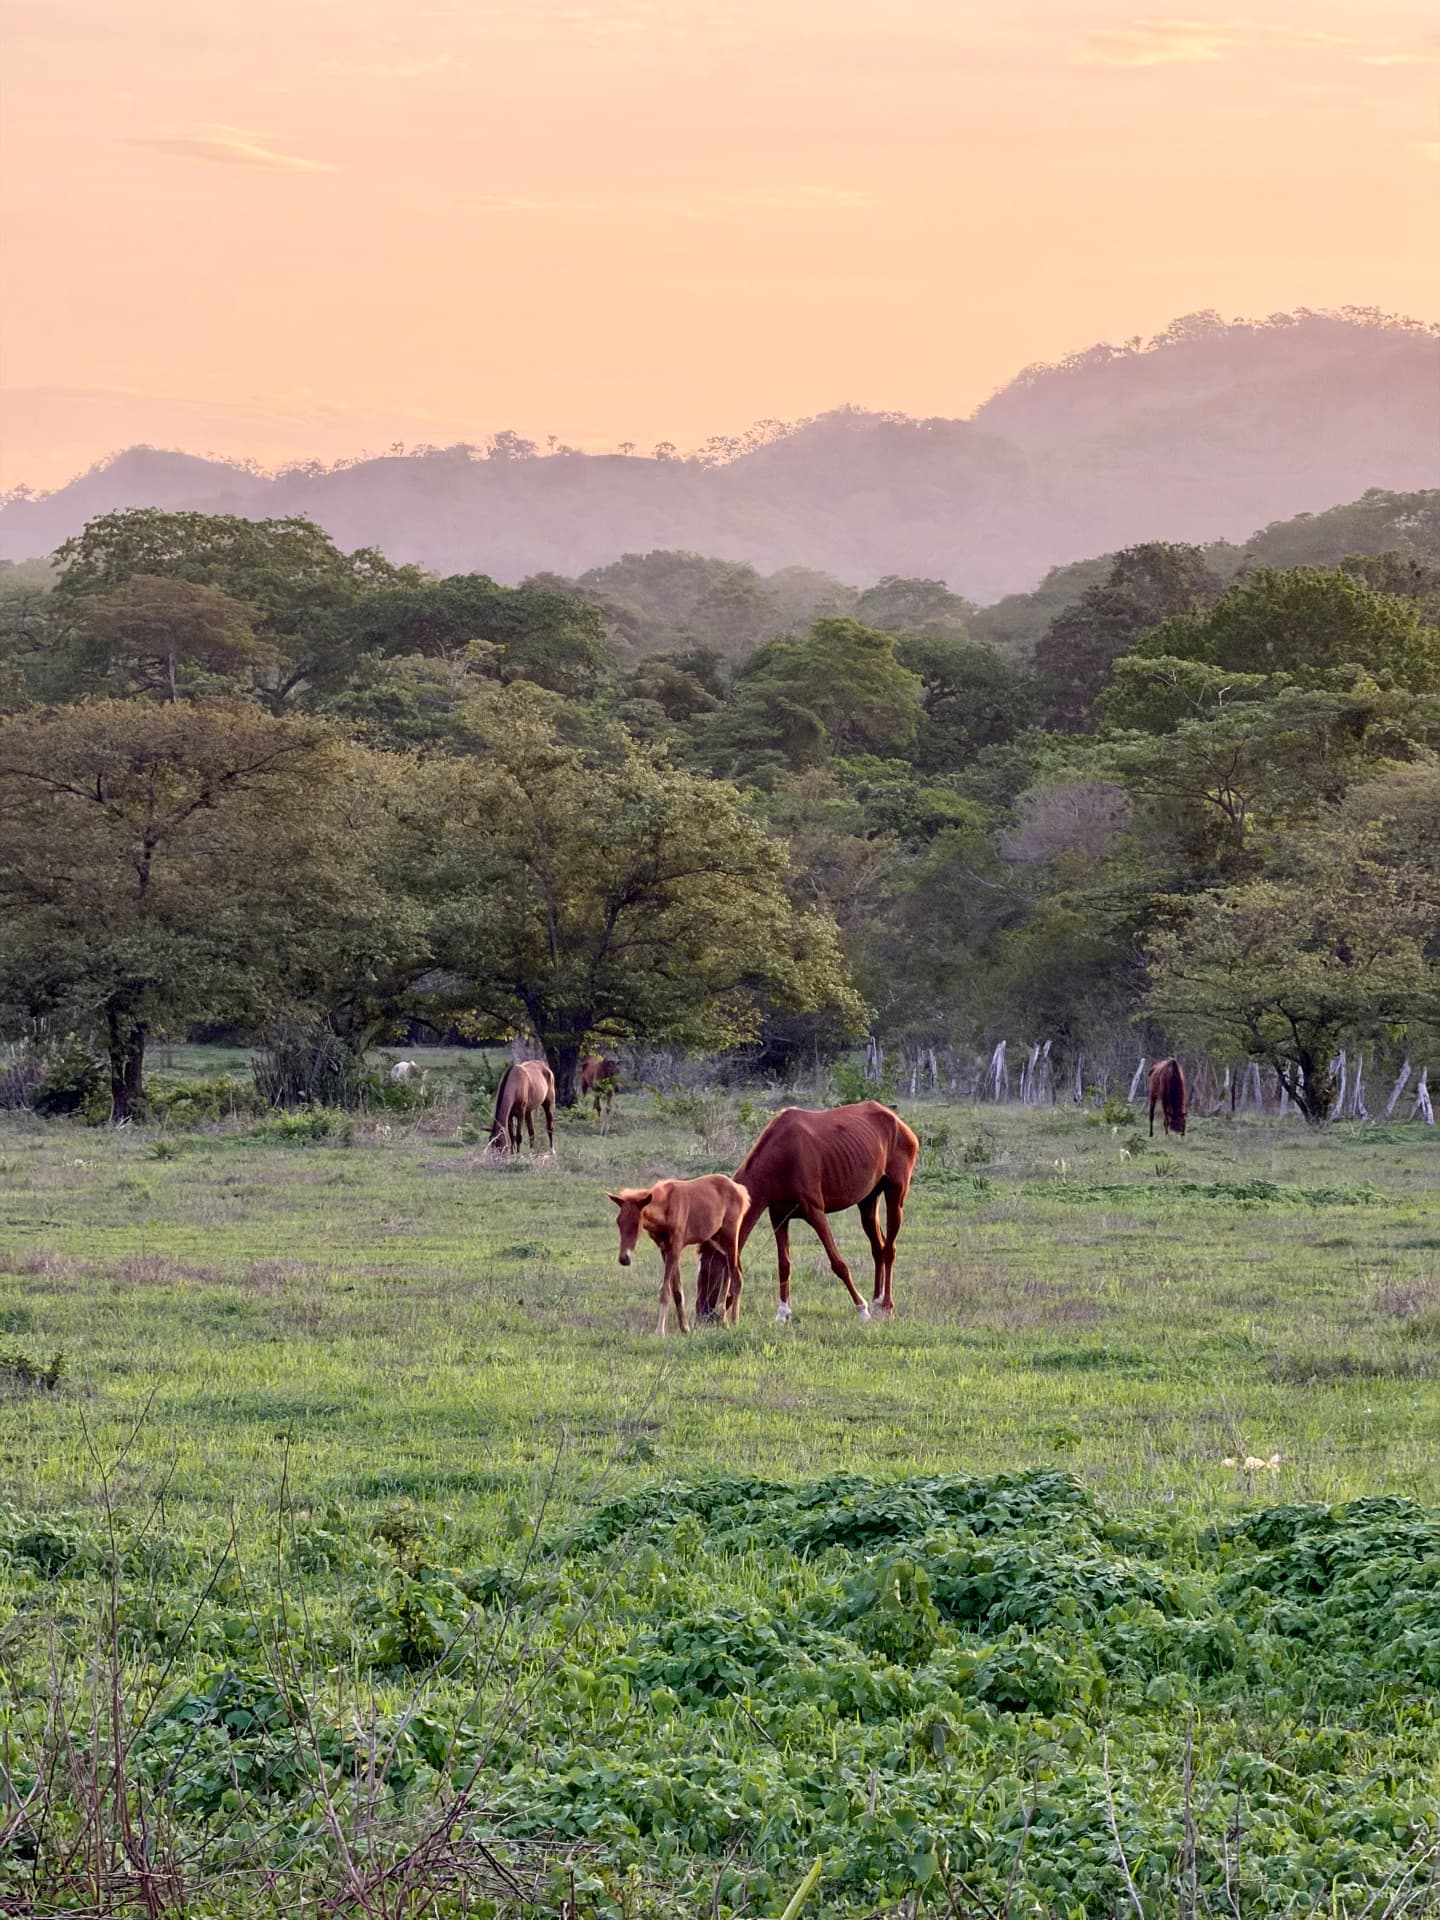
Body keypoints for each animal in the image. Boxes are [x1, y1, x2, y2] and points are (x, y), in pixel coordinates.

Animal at [608, 1175, 748, 1336]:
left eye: (637, 1222)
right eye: (619, 1222)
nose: (624, 1258)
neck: (666, 1208)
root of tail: (741, 1191)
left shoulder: (675, 1248)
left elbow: (665, 1290)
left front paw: (659, 1331)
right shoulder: (665, 1250)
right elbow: (677, 1291)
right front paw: (685, 1328)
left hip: (730, 1238)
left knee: (737, 1276)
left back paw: (735, 1321)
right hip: (717, 1241)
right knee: (728, 1271)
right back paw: (724, 1320)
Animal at [697, 1101, 919, 1325]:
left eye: (708, 1272)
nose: (701, 1316)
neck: (780, 1157)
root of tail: (897, 1121)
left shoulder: (815, 1212)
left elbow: (838, 1264)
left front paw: (861, 1310)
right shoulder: (779, 1216)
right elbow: (784, 1264)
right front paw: (782, 1313)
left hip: (895, 1195)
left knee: (889, 1249)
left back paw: (886, 1306)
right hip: (868, 1201)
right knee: (878, 1248)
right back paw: (876, 1301)